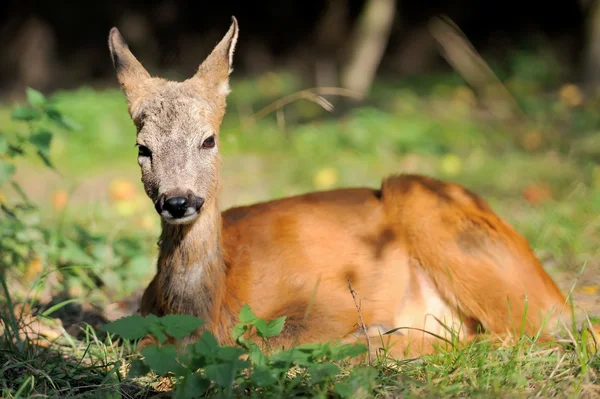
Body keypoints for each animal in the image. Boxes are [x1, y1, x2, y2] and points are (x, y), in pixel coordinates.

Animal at [106, 16, 572, 362]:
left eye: (209, 139)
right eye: (143, 148)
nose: (178, 200)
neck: (212, 310)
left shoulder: (330, 296)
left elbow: (266, 341)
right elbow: (139, 343)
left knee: (532, 334)